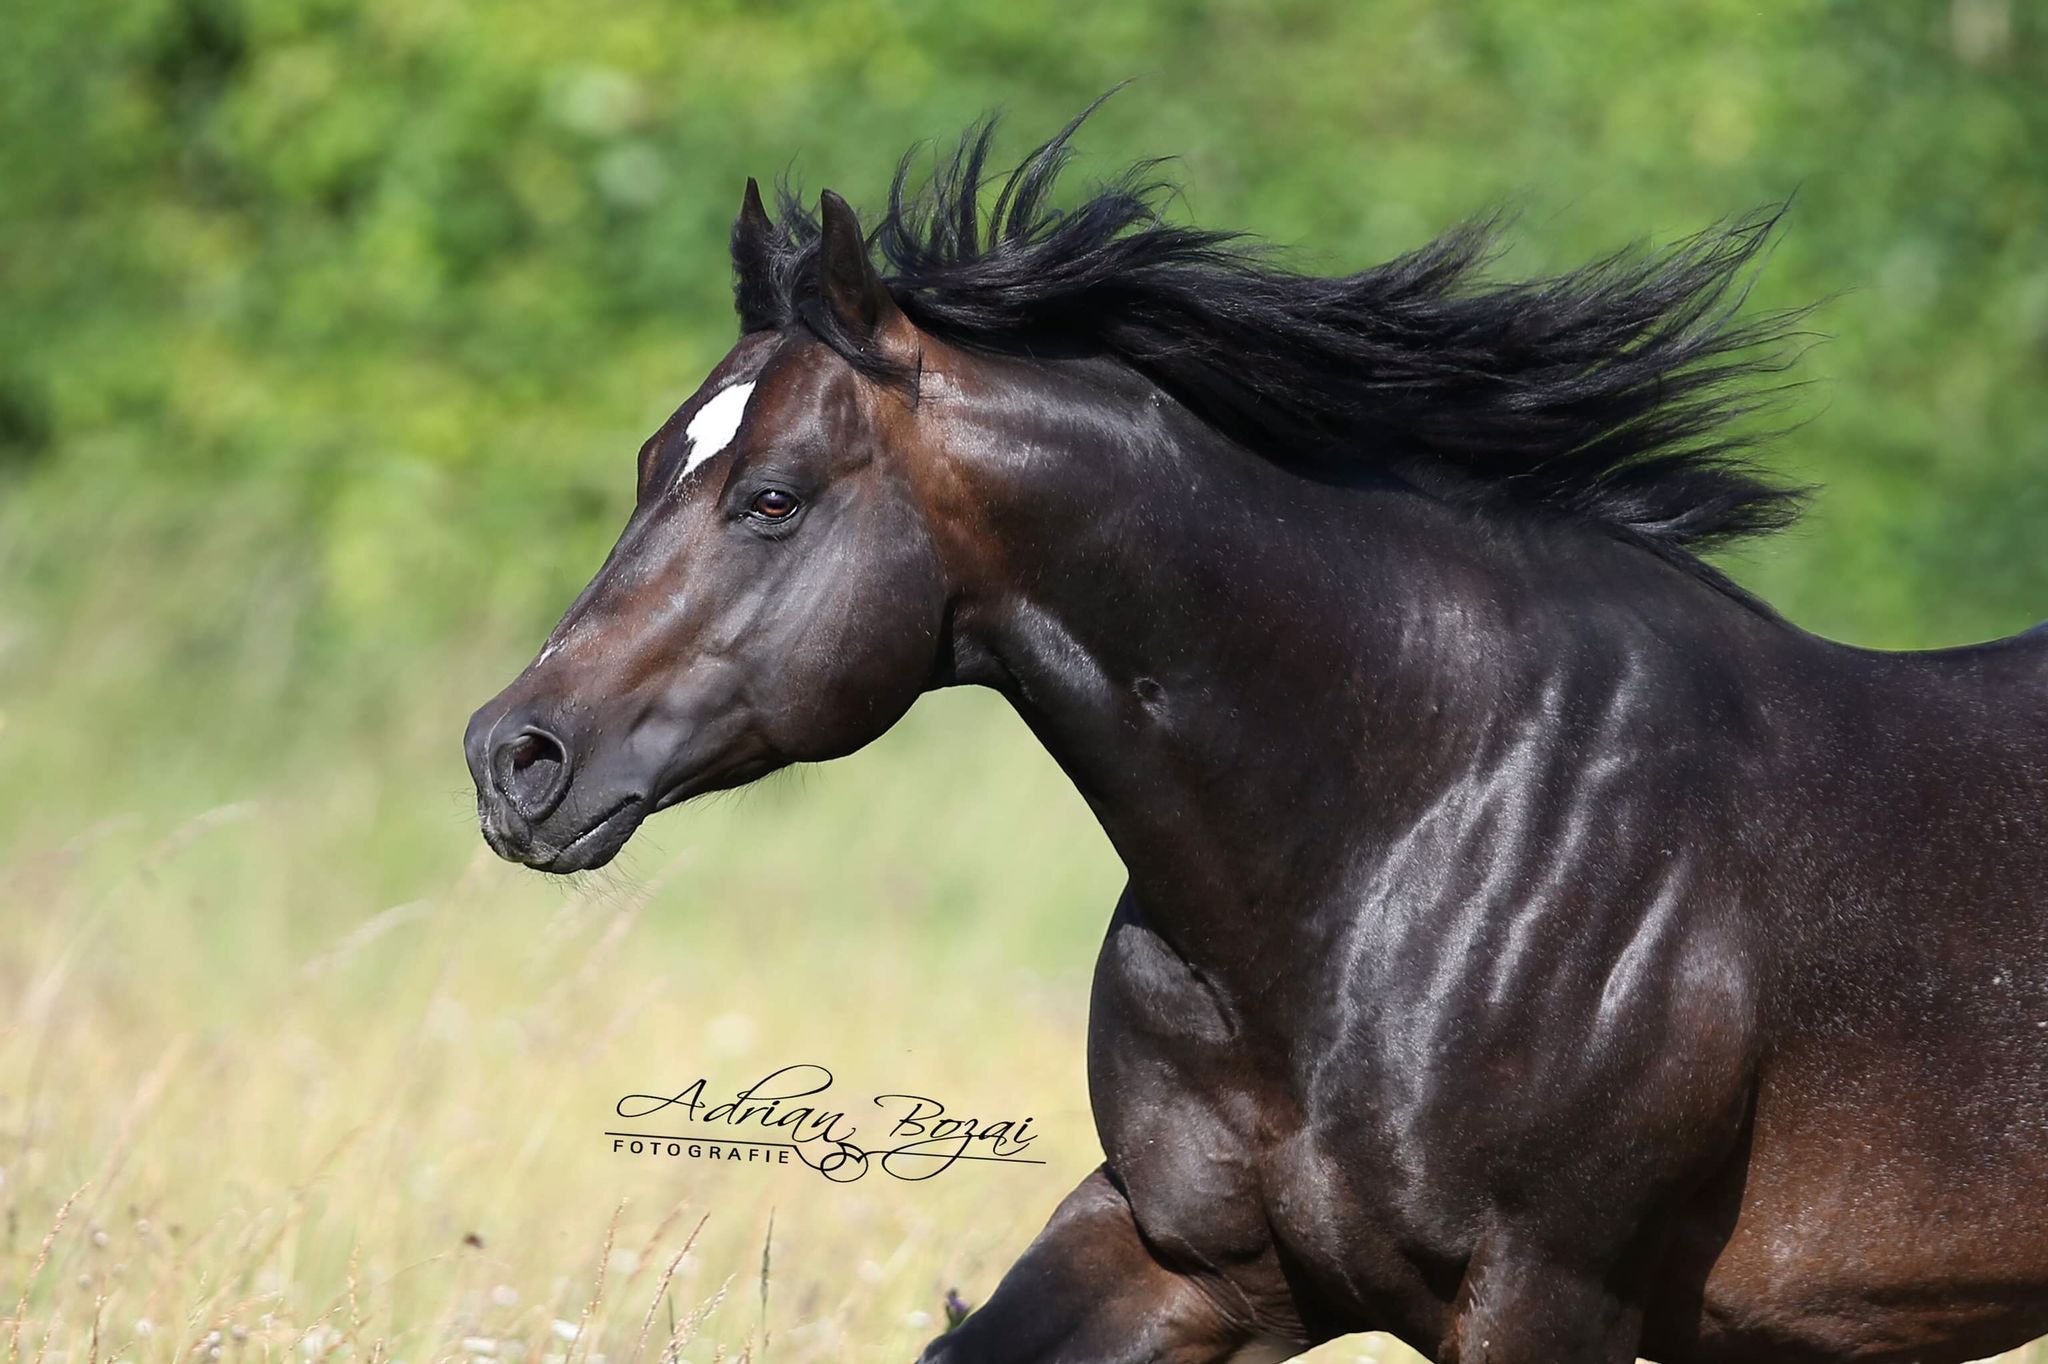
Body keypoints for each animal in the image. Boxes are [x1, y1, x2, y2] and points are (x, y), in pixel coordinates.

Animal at [463, 109, 2048, 1364]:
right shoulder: (1191, 1252)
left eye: (773, 497)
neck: (1415, 826)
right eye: (653, 461)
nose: (513, 757)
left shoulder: (1549, 1291)